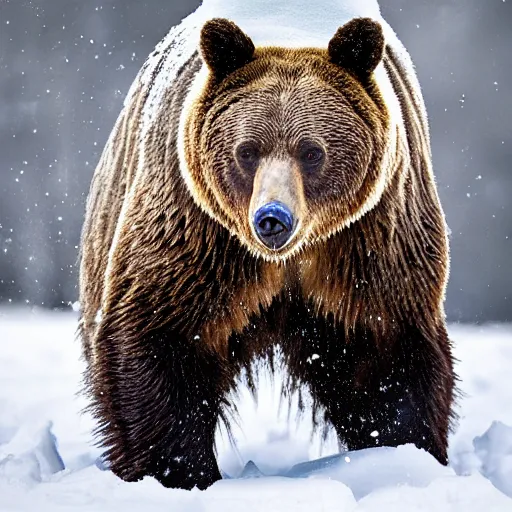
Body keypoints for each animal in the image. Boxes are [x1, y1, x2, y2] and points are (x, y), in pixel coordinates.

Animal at [79, 14, 456, 490]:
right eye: (247, 150)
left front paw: (403, 456)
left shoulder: (372, 238)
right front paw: (180, 472)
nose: (272, 218)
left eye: (312, 151)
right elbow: (159, 334)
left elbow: (388, 352)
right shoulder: (199, 231)